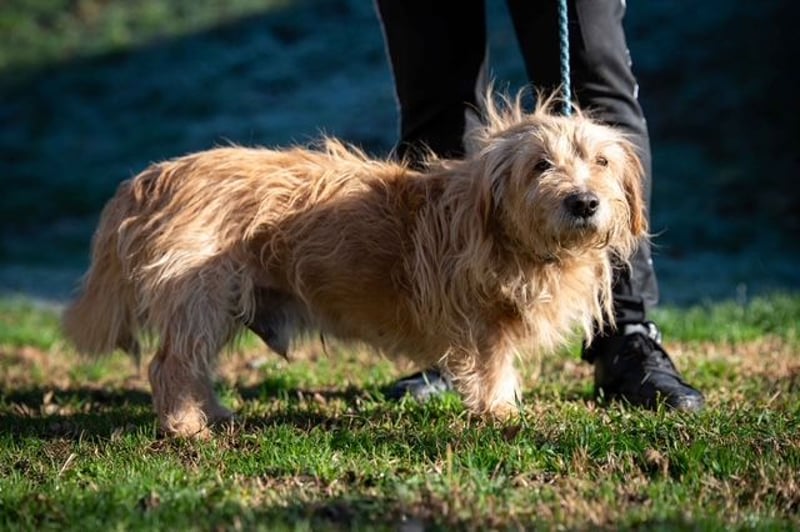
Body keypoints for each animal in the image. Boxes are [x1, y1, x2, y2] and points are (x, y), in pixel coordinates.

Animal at [62, 90, 646, 438]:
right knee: (170, 364)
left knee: (188, 364)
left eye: (601, 161)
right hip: (200, 297)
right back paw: (187, 427)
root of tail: (148, 179)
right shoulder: (481, 321)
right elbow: (494, 364)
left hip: (214, 303)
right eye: (541, 165)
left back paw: (213, 412)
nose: (584, 202)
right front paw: (500, 413)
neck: (504, 226)